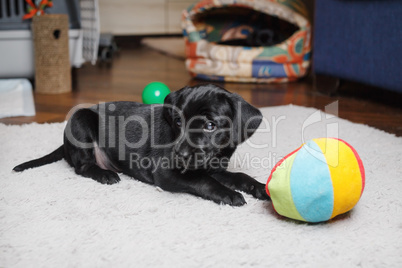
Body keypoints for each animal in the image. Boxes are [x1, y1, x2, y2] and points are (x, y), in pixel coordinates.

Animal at [14, 85, 268, 206]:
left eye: (210, 125)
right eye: (178, 121)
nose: (180, 154)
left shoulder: (214, 167)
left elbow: (240, 176)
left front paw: (260, 188)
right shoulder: (167, 172)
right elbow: (204, 181)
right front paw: (229, 194)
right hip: (80, 119)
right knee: (82, 166)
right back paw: (105, 174)